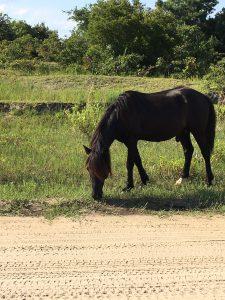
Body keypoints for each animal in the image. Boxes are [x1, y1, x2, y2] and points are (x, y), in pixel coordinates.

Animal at [84, 86, 216, 199]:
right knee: (188, 151)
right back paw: (182, 178)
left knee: (205, 153)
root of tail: (204, 97)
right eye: (88, 169)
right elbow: (137, 160)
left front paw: (128, 186)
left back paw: (209, 181)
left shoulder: (131, 141)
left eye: (100, 169)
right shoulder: (129, 143)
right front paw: (145, 180)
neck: (121, 114)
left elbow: (130, 164)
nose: (95, 196)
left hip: (198, 131)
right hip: (184, 132)